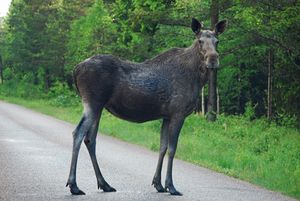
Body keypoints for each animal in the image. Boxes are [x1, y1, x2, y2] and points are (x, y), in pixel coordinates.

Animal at [67, 18, 227, 196]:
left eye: (217, 41)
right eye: (200, 41)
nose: (213, 59)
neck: (198, 79)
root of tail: (75, 70)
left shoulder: (166, 116)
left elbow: (162, 147)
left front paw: (158, 184)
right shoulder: (178, 113)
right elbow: (172, 149)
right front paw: (171, 186)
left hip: (98, 107)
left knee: (90, 139)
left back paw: (105, 184)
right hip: (92, 103)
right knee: (78, 133)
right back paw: (74, 185)